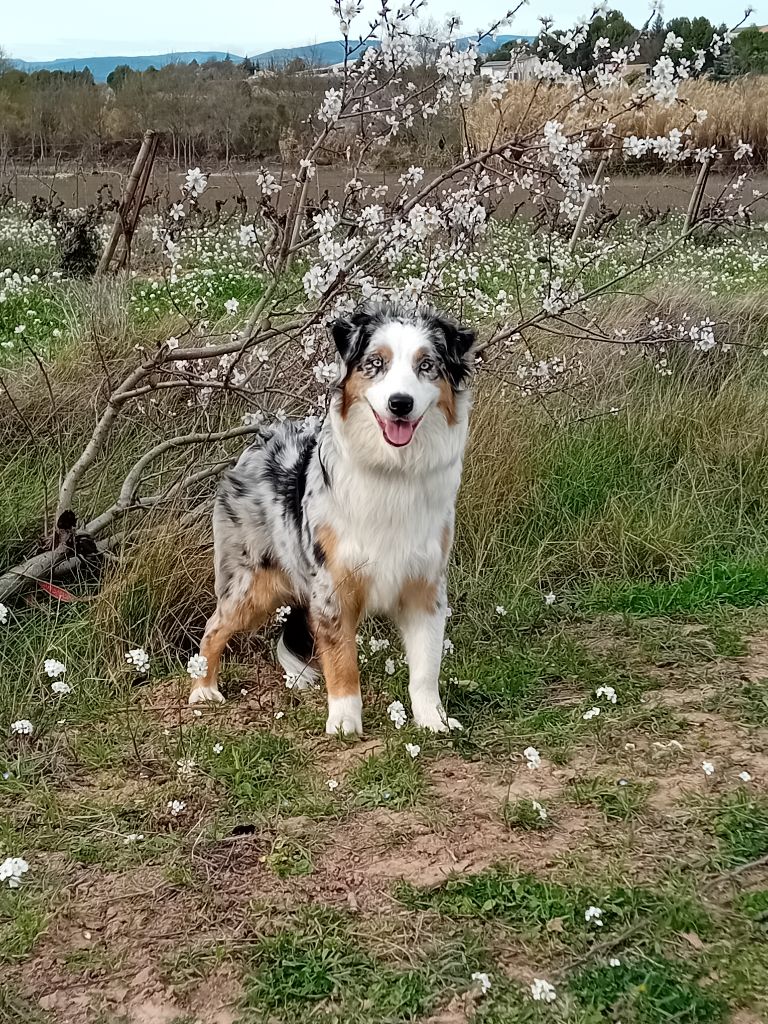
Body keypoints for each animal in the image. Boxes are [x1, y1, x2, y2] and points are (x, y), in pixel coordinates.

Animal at [189, 301, 475, 737]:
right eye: (376, 363)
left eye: (427, 365)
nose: (400, 403)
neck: (392, 472)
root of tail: (261, 440)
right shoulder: (334, 586)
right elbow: (342, 661)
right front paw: (344, 722)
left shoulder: (424, 586)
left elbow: (426, 668)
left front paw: (433, 720)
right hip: (249, 584)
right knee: (214, 627)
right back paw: (203, 689)